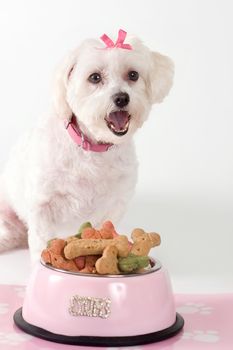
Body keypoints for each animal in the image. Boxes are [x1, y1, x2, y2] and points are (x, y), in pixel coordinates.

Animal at [0, 30, 172, 262]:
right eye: (95, 77)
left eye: (133, 75)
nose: (121, 98)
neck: (92, 147)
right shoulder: (42, 204)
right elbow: (41, 241)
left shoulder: (115, 204)